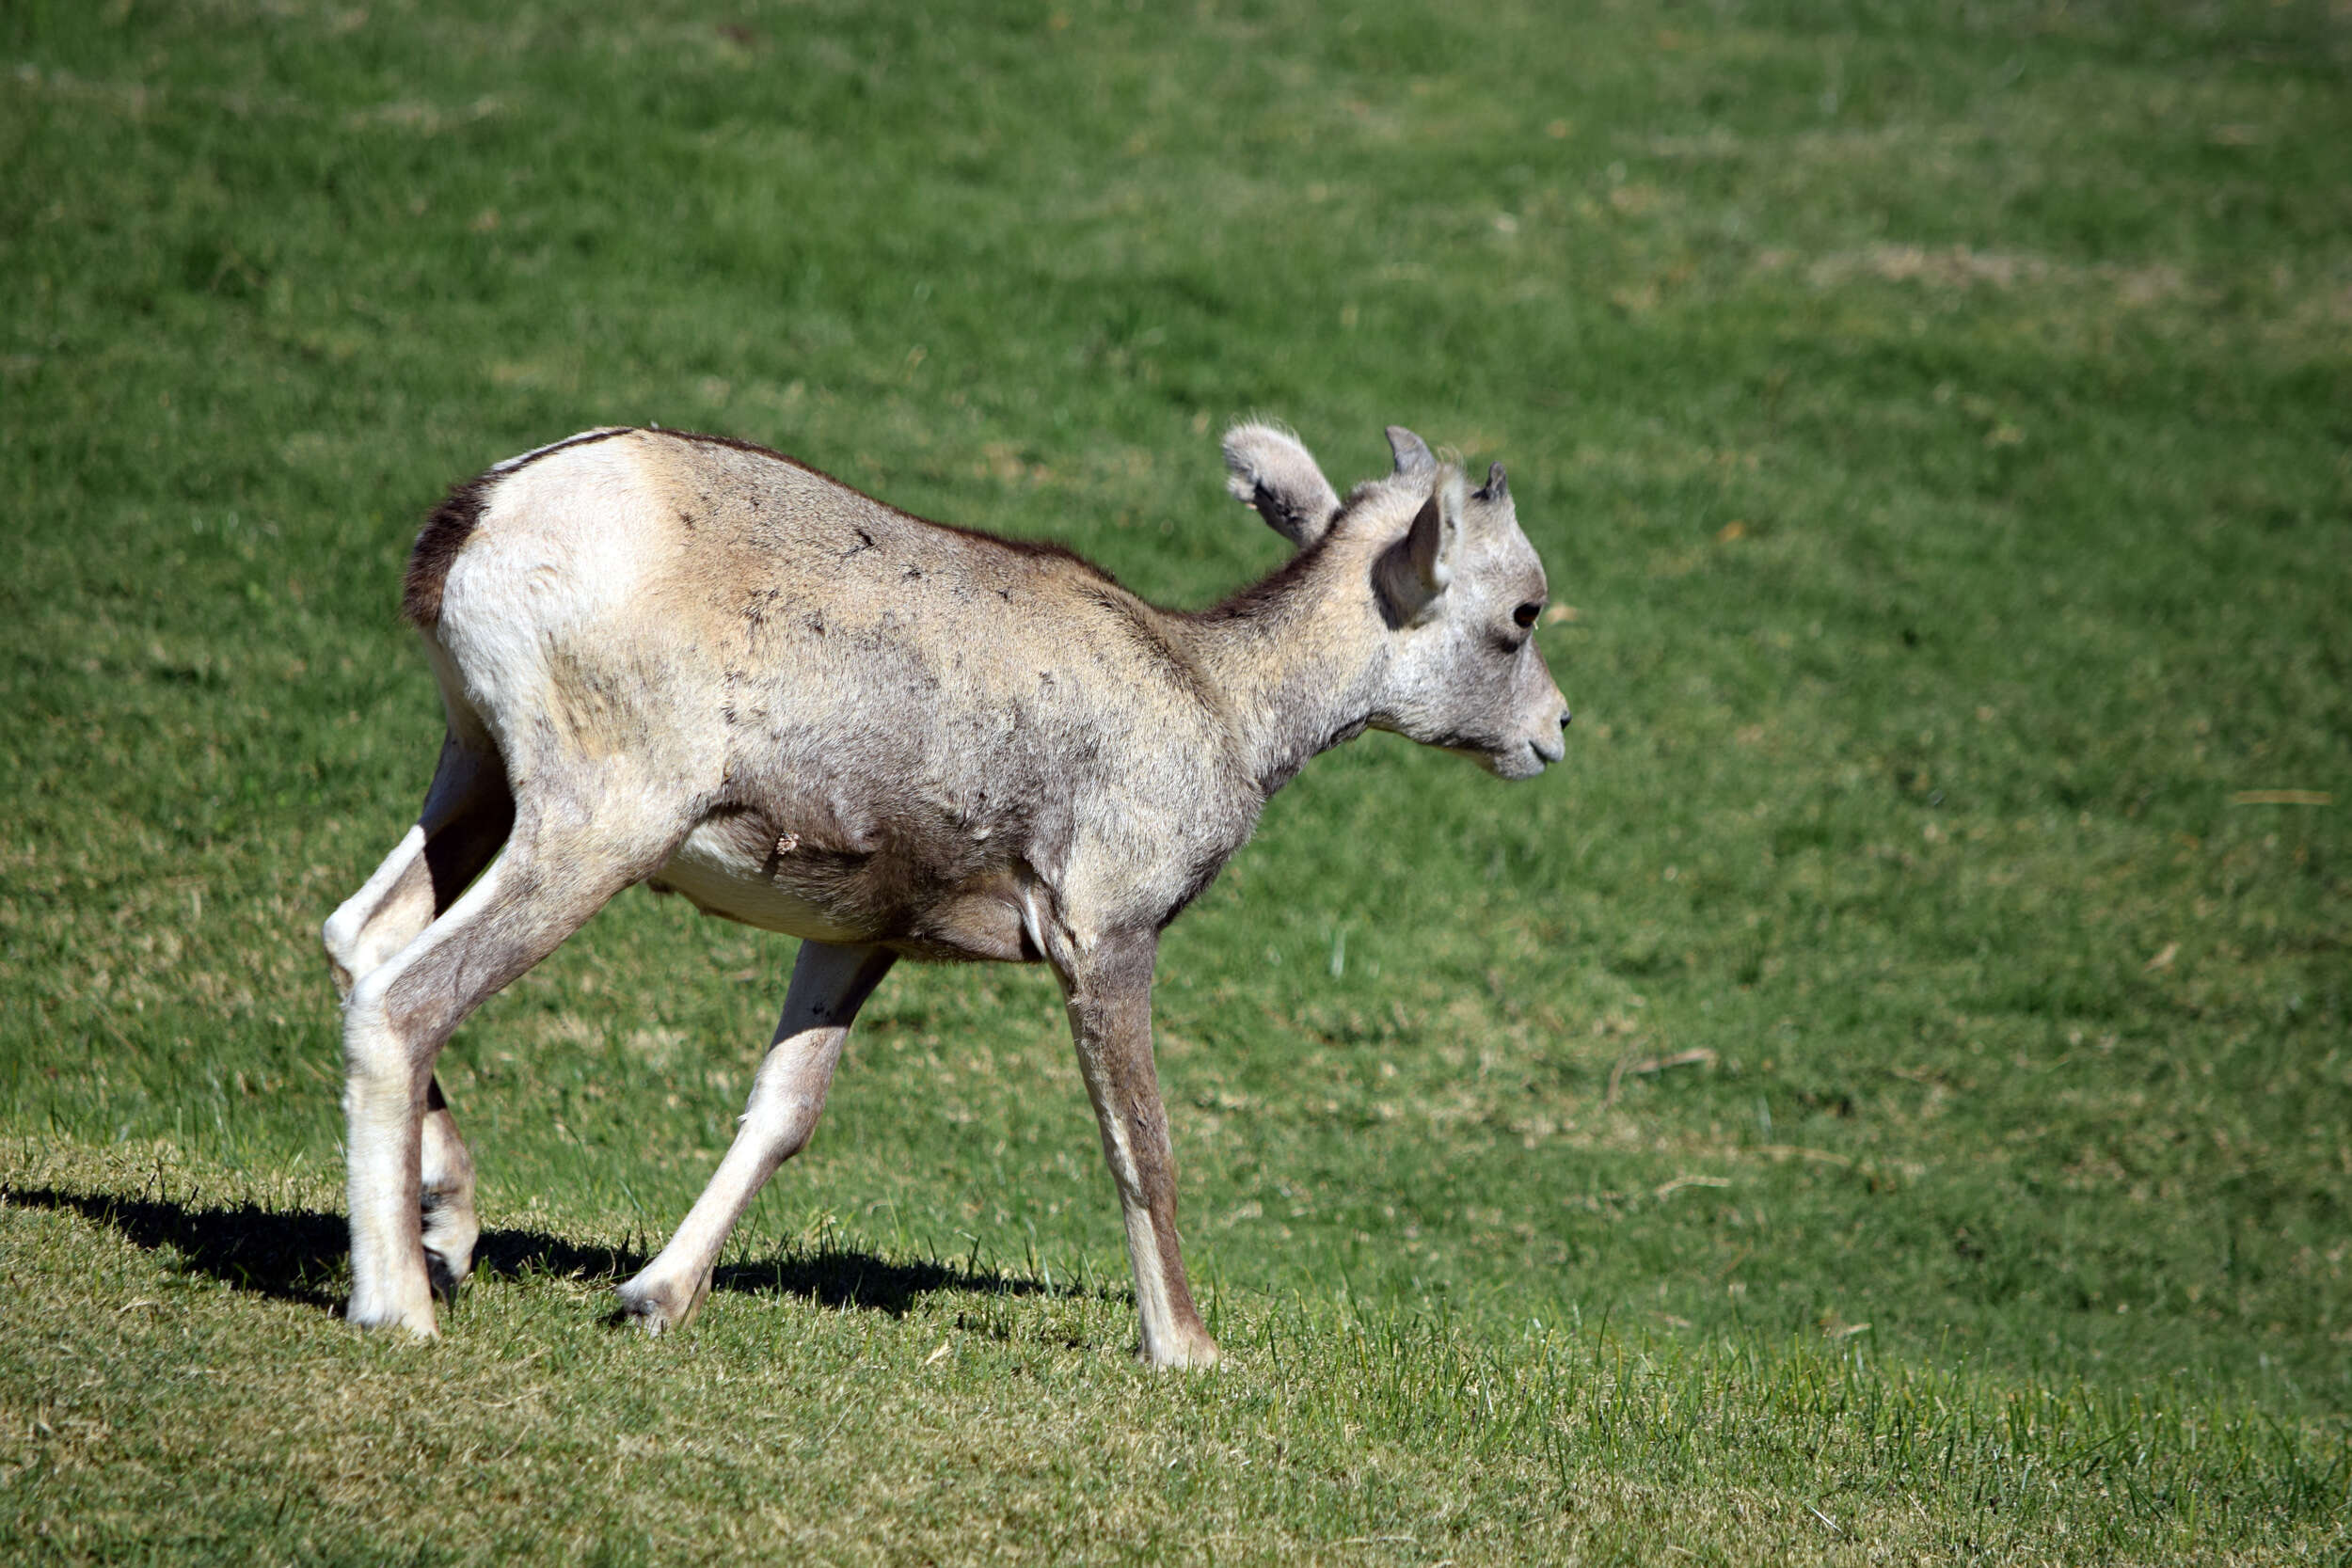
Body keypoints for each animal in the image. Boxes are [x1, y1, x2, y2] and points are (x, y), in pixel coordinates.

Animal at [322, 422, 1571, 1363]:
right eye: (1522, 614)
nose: (1556, 732)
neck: (1219, 701)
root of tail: (487, 513)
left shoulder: (856, 934)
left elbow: (784, 1111)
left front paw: (654, 1298)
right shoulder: (1104, 938)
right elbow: (1142, 1145)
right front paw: (1188, 1349)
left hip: (475, 775)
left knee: (359, 937)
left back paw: (447, 1227)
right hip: (596, 826)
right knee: (407, 996)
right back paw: (402, 1308)